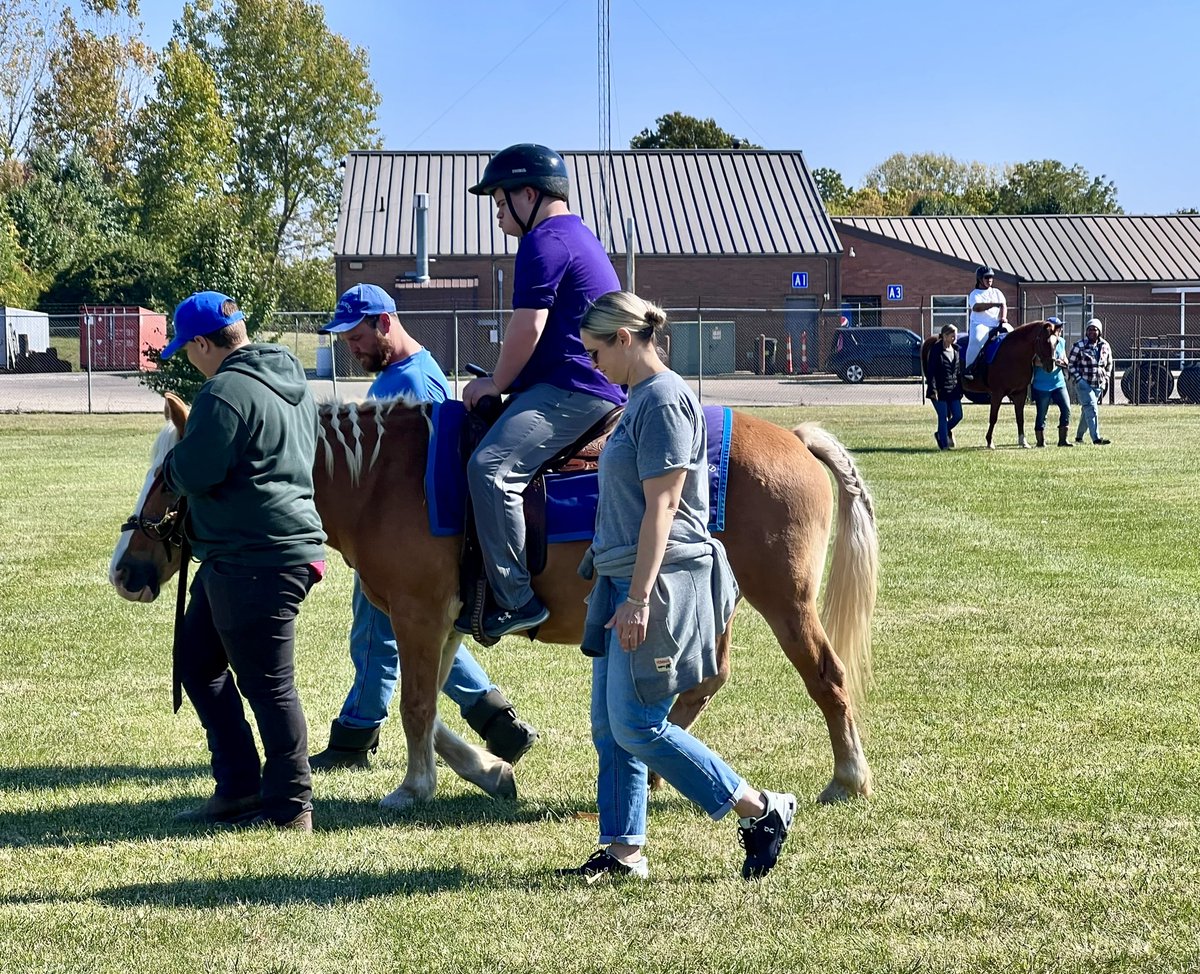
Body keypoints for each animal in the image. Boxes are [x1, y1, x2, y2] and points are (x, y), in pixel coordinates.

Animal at [111, 393, 880, 809]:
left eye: (172, 473)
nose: (125, 570)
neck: (381, 478)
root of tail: (795, 441)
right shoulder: (442, 616)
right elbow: (428, 706)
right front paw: (488, 768)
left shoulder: (420, 612)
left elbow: (415, 705)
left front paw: (414, 787)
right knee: (706, 679)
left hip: (784, 601)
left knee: (827, 677)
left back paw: (847, 778)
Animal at [923, 321, 1056, 449]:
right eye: (1045, 341)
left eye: (1057, 342)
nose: (1050, 366)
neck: (1012, 354)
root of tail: (936, 338)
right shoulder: (997, 393)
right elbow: (993, 417)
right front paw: (989, 441)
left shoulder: (1020, 393)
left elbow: (1020, 418)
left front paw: (1023, 441)